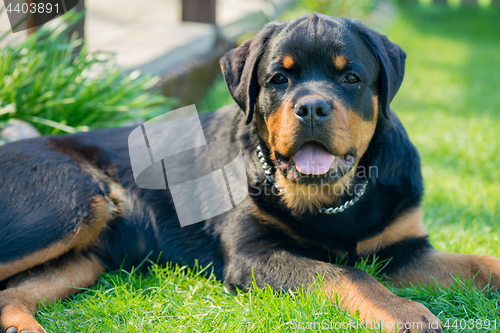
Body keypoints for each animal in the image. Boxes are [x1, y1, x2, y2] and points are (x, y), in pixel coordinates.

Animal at [0, 13, 500, 332]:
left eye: (351, 77)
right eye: (279, 79)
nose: (312, 107)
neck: (332, 201)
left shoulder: (404, 248)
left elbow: (481, 261)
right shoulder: (253, 254)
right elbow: (346, 274)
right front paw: (404, 313)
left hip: (87, 257)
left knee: (10, 293)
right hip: (71, 203)